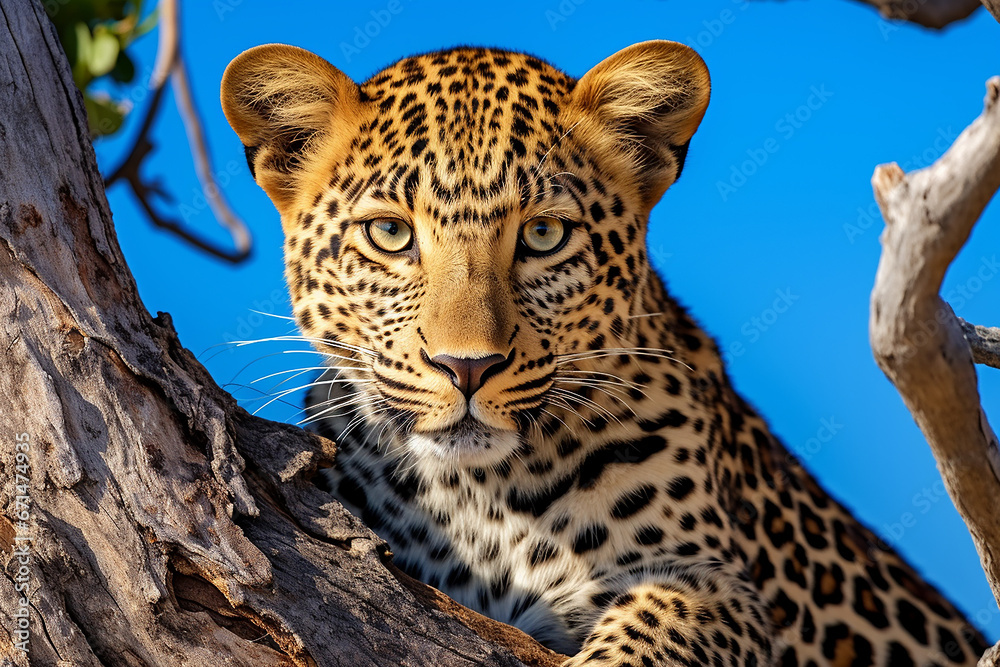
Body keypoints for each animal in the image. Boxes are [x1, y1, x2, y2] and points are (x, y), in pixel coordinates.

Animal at [220, 41, 990, 666]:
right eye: (389, 233)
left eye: (543, 236)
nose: (466, 367)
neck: (476, 498)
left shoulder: (713, 588)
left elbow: (646, 638)